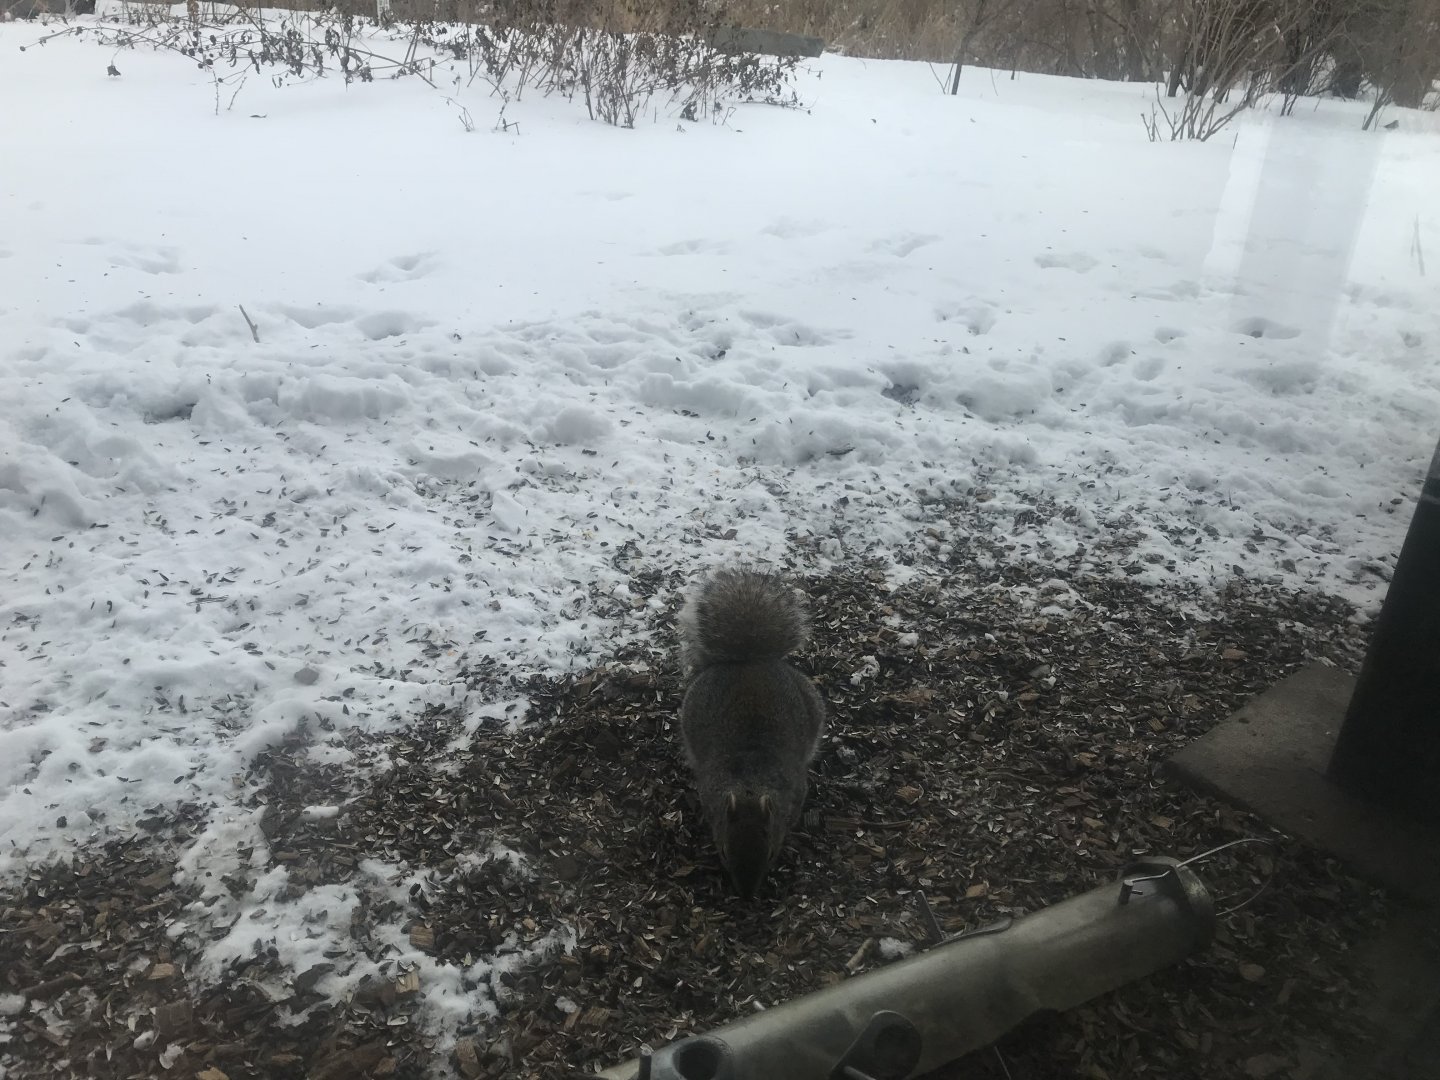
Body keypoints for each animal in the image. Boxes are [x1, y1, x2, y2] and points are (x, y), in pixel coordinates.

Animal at [677, 567, 827, 898]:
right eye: (722, 851)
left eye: (770, 853)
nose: (746, 896)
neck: (750, 783)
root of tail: (749, 661)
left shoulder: (796, 789)